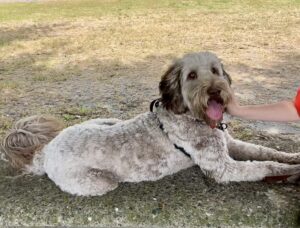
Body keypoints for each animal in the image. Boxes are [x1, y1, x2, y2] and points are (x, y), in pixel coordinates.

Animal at [2, 52, 300, 196]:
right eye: (192, 75)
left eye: (215, 71)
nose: (216, 91)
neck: (191, 115)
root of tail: (44, 152)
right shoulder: (223, 168)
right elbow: (265, 166)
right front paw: (291, 171)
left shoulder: (231, 144)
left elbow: (266, 152)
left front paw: (293, 157)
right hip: (99, 183)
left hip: (105, 121)